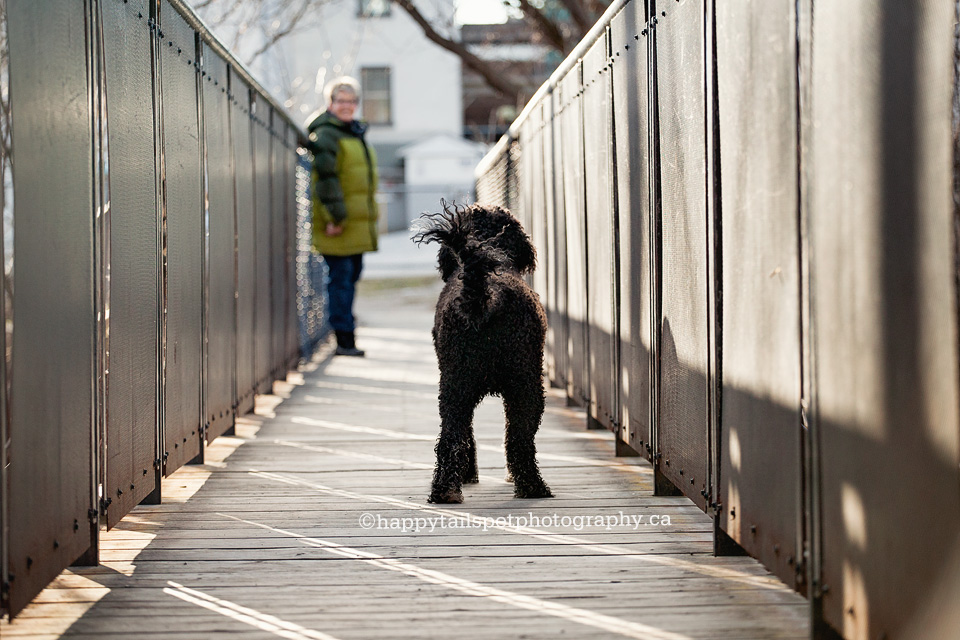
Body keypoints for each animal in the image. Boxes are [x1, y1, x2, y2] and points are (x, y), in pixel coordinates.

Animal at [414, 202, 556, 502]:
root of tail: (485, 296)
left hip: (456, 387)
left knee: (451, 439)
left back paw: (444, 490)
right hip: (526, 386)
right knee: (519, 440)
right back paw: (532, 486)